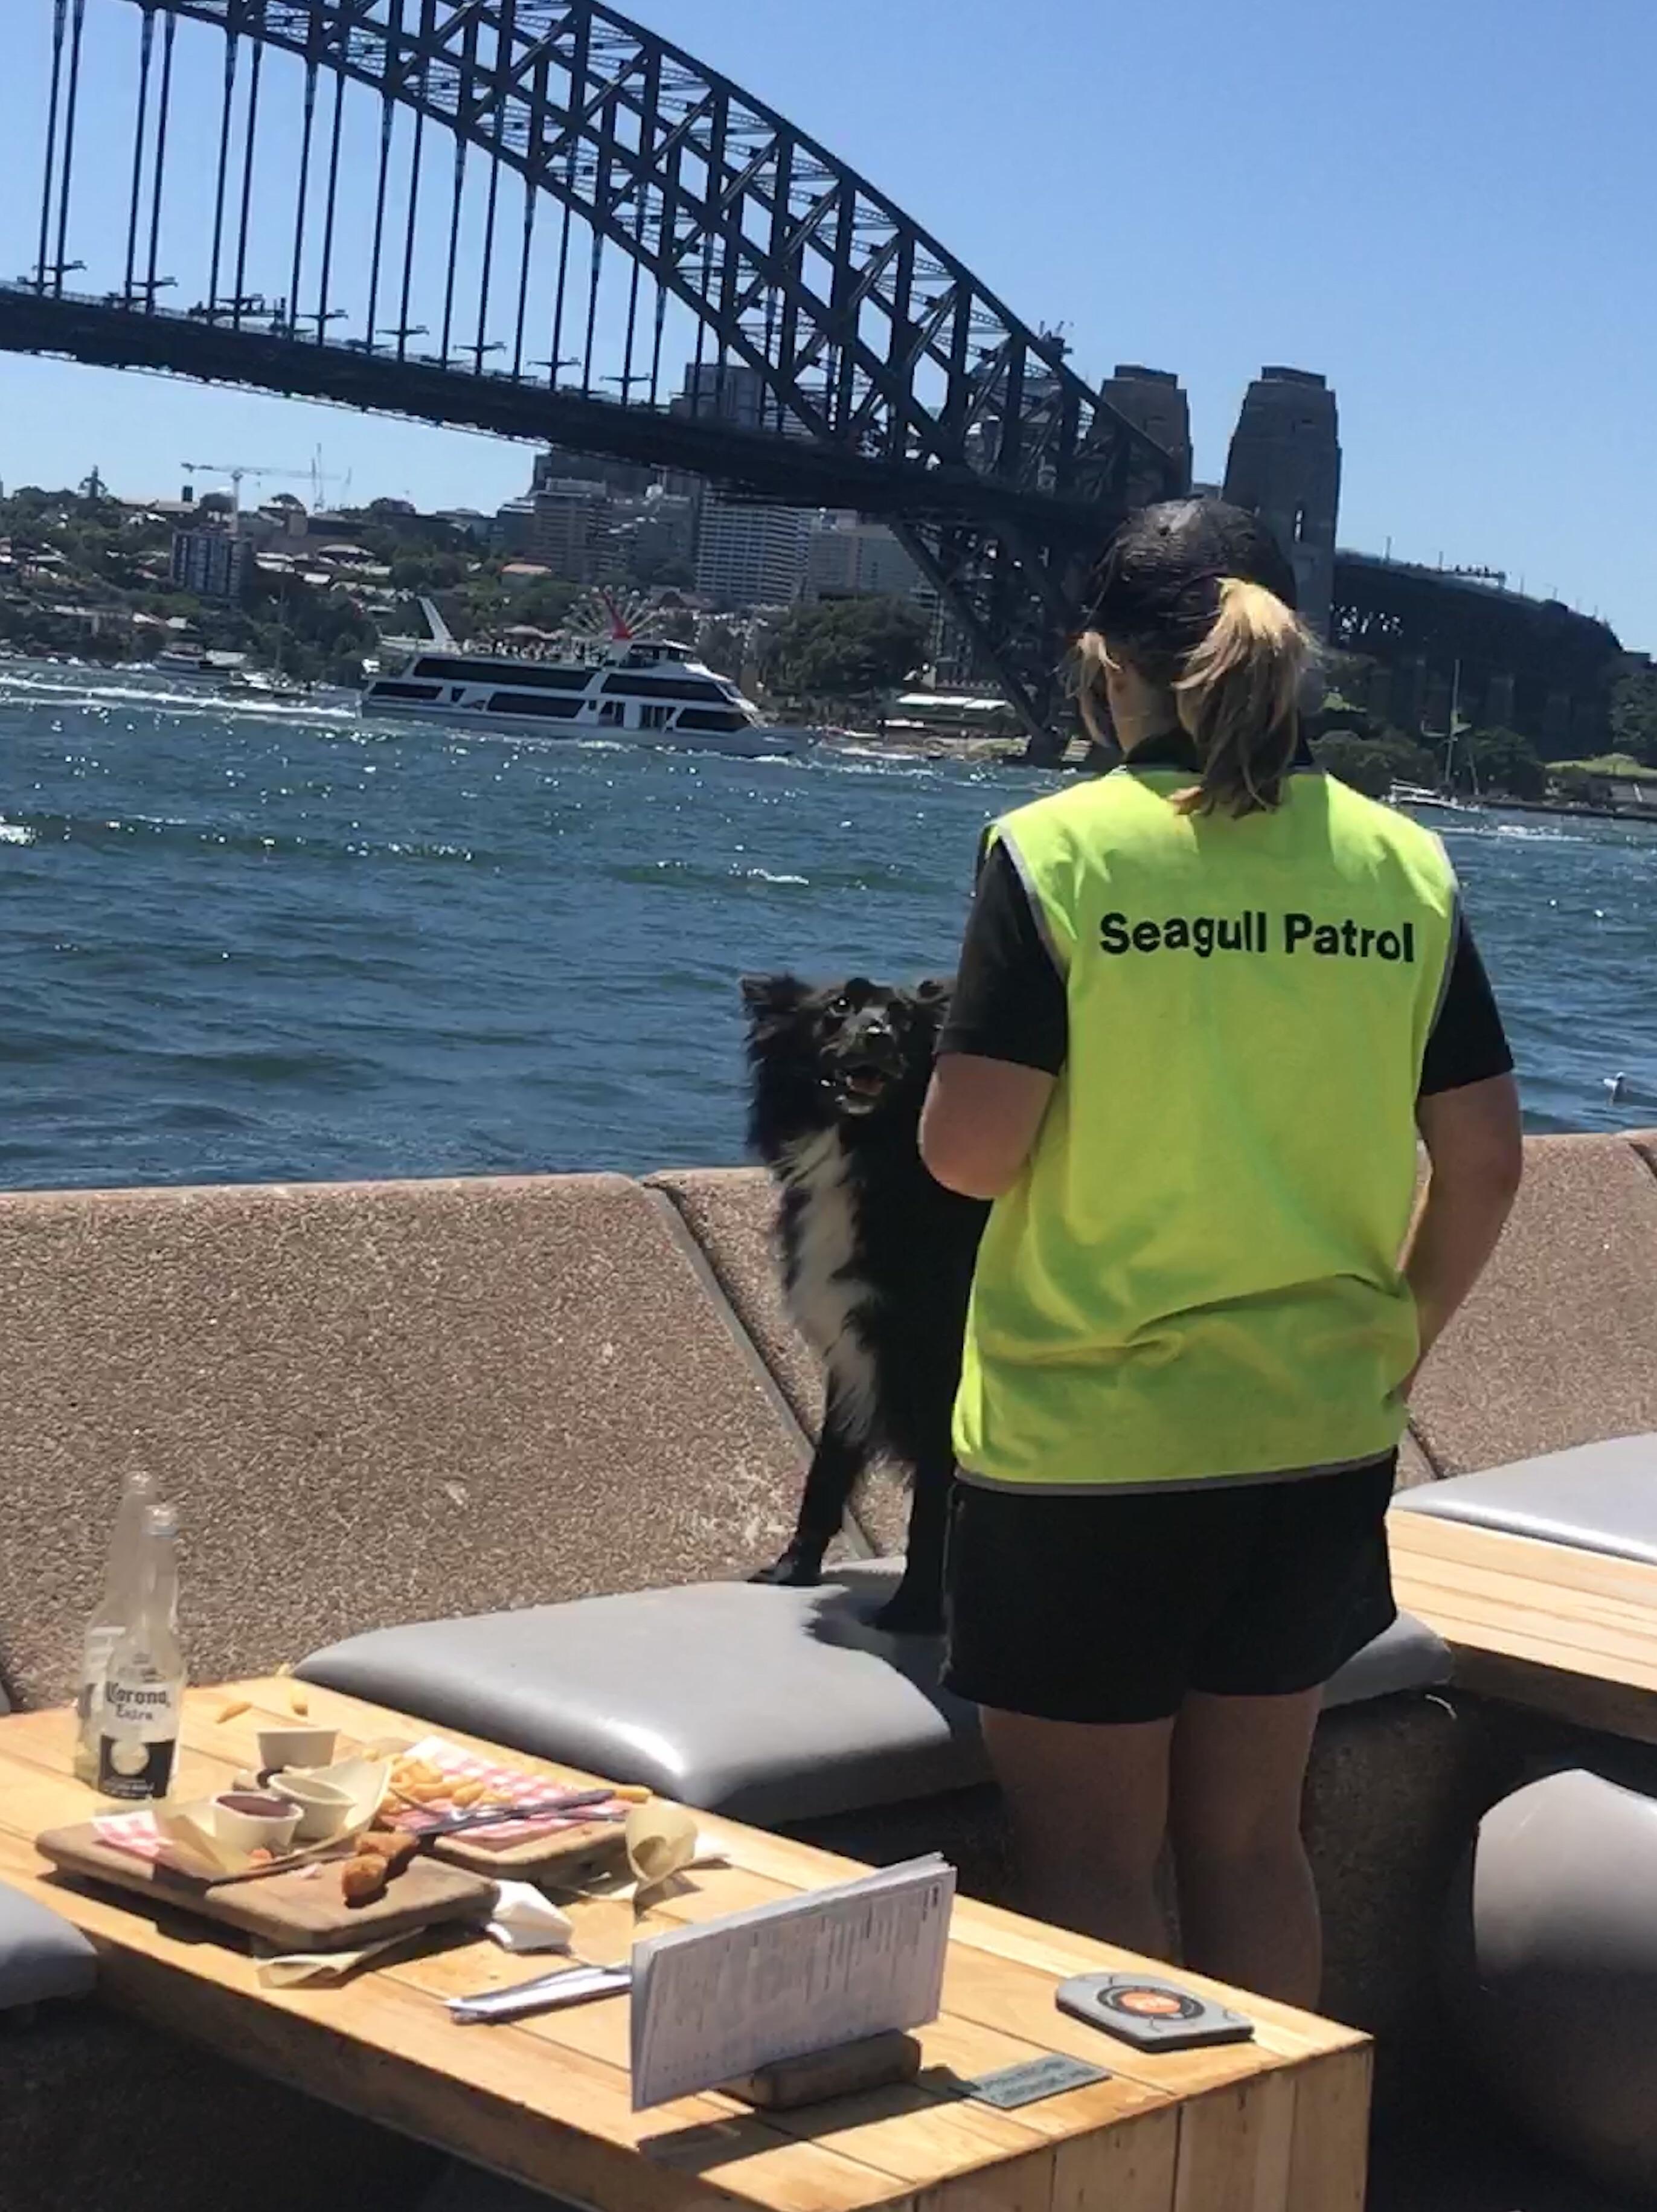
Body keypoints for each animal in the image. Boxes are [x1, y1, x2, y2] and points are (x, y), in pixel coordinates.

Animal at [739, 977, 982, 1636]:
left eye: (900, 1017)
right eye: (838, 1008)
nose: (877, 1034)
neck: (870, 1153)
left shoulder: (939, 1369)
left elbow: (930, 1507)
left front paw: (912, 1610)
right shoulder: (849, 1356)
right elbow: (826, 1471)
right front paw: (790, 1570)